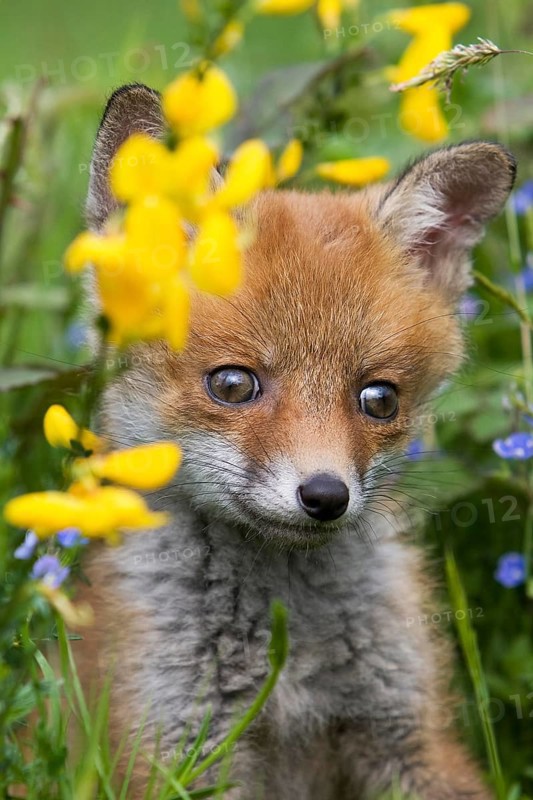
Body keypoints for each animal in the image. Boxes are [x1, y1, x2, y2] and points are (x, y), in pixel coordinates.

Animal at [74, 82, 516, 799]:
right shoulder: (178, 749)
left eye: (379, 398)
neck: (289, 655)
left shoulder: (408, 735)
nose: (325, 495)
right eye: (232, 384)